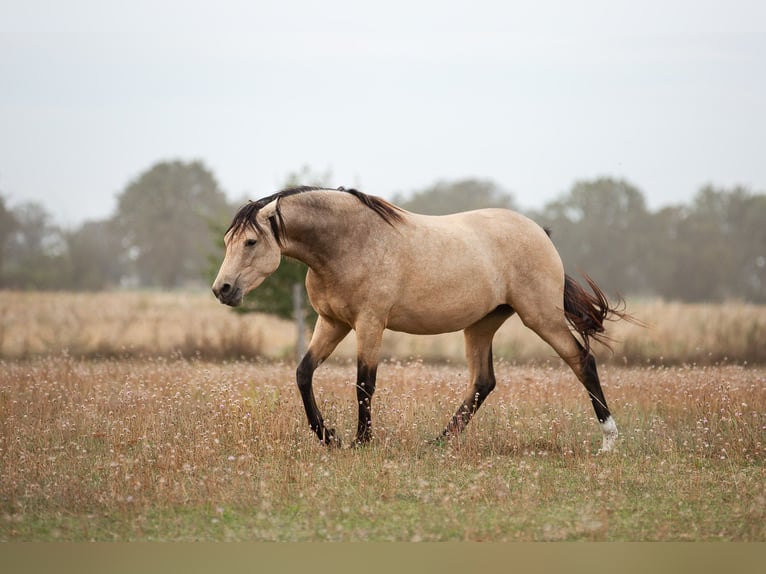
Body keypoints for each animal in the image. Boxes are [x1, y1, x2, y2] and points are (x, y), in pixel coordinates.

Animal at [212, 189, 632, 454]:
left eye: (251, 242)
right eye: (227, 242)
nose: (223, 289)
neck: (350, 242)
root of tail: (540, 233)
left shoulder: (370, 323)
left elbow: (364, 383)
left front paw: (361, 442)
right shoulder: (331, 322)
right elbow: (303, 373)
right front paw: (329, 437)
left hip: (541, 316)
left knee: (582, 361)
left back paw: (609, 440)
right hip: (481, 325)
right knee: (483, 382)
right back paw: (439, 442)